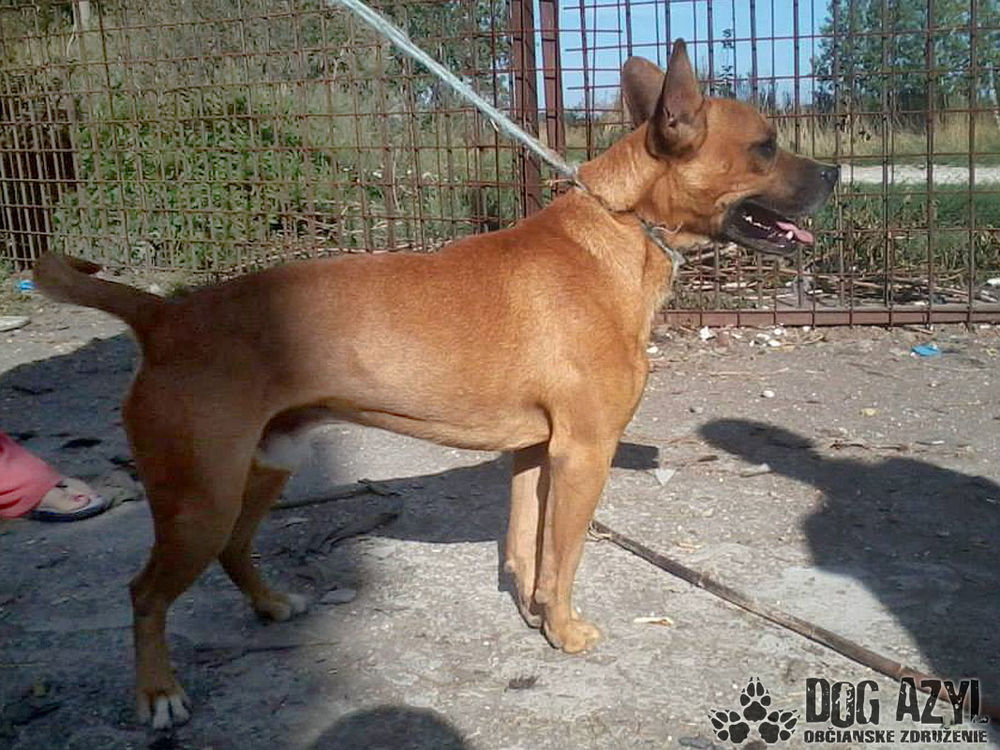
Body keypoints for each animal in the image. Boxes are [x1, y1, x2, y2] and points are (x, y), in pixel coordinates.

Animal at [34, 40, 837, 729]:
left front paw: (534, 615)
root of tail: (163, 314)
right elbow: (564, 559)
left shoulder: (534, 453)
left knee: (234, 550)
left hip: (260, 470)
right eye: (766, 144)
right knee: (146, 594)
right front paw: (565, 630)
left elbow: (525, 549)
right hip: (200, 498)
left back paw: (271, 605)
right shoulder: (584, 454)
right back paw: (158, 692)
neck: (618, 233)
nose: (834, 175)